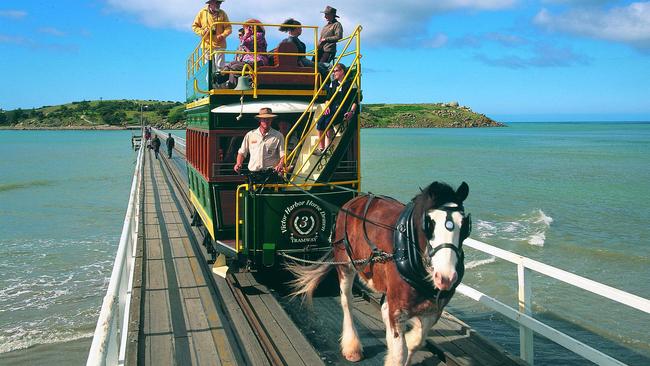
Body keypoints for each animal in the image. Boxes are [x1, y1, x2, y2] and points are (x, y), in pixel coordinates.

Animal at [286, 182, 468, 364]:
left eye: (464, 225)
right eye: (429, 224)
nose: (446, 277)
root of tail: (353, 202)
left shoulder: (433, 311)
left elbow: (416, 341)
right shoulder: (397, 309)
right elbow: (400, 352)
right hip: (345, 265)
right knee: (347, 302)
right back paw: (352, 347)